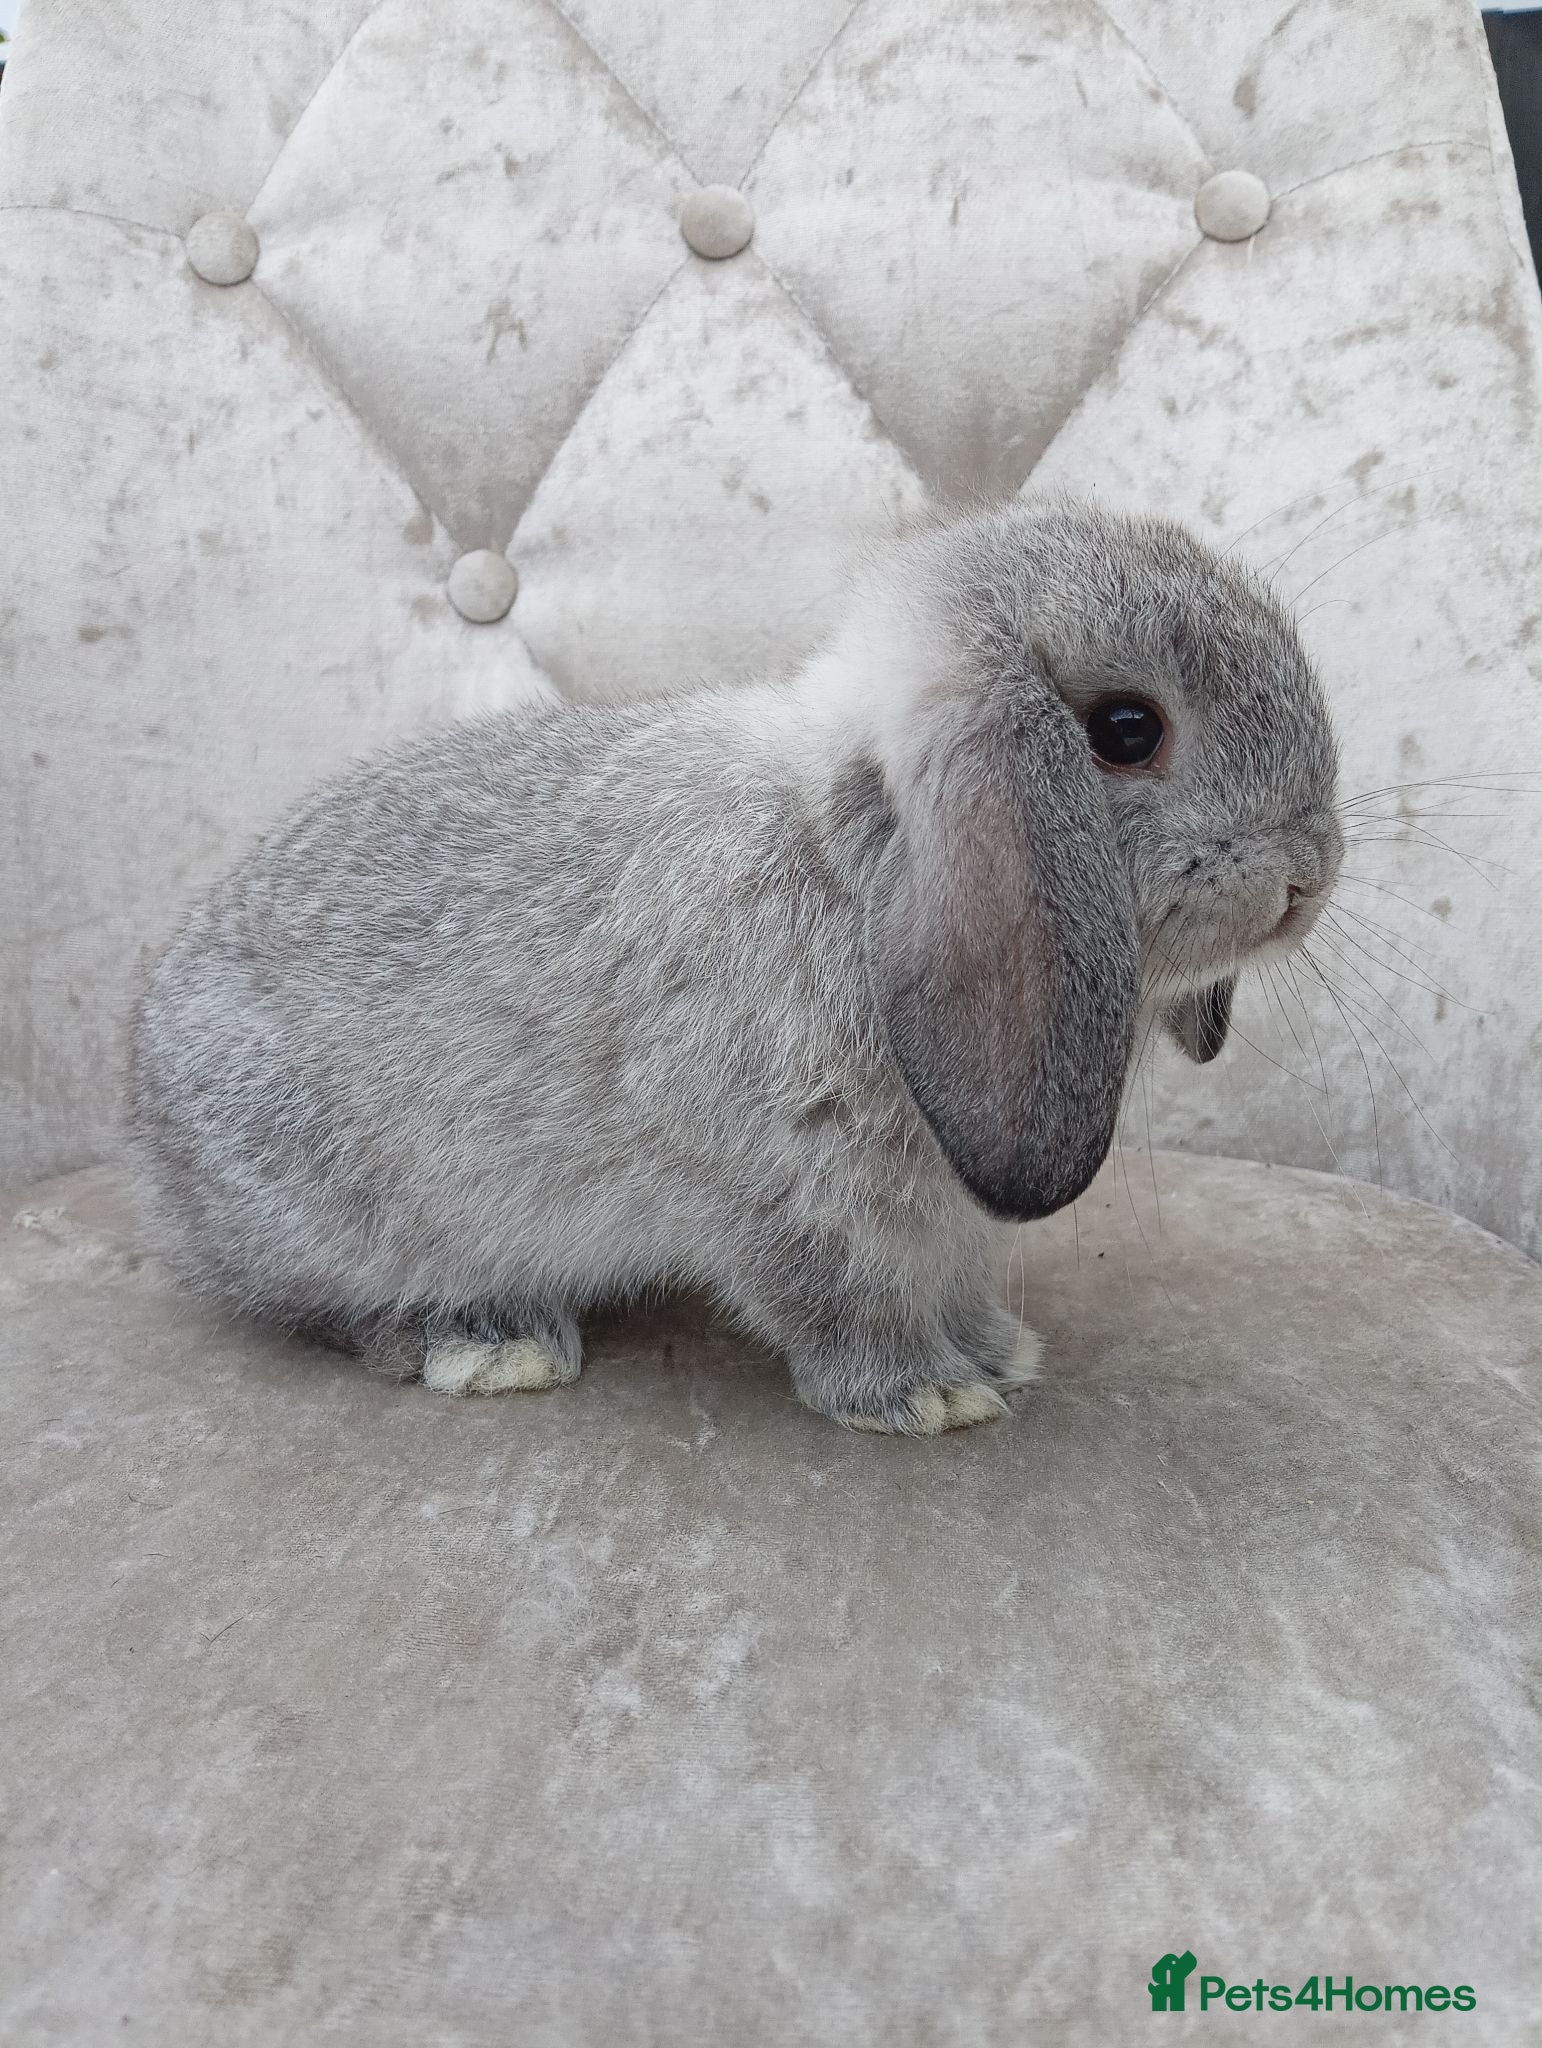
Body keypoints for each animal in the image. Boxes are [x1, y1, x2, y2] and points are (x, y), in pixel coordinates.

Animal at [124, 495, 1342, 1434]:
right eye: (1128, 730)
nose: (1310, 877)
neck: (857, 868)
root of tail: (148, 1129)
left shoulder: (934, 1209)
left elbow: (948, 1278)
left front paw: (996, 1352)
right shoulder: (779, 1185)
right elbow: (833, 1298)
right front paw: (924, 1396)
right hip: (326, 1204)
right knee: (319, 1309)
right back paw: (488, 1342)